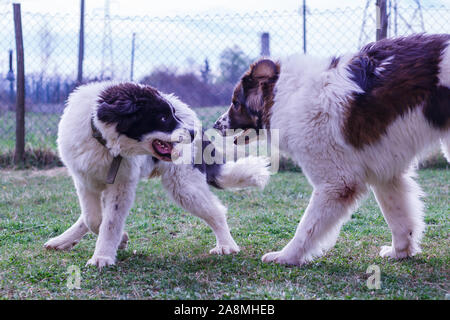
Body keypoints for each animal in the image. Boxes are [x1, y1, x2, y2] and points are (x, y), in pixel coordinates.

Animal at [44, 81, 270, 268]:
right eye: (163, 117)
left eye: (172, 115)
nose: (192, 133)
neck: (104, 143)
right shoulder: (84, 180)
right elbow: (93, 218)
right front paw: (118, 241)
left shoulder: (121, 185)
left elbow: (109, 222)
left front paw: (103, 256)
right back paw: (62, 240)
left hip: (184, 186)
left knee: (216, 211)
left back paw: (226, 245)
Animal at [214, 33, 450, 266]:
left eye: (235, 103)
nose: (215, 125)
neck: (286, 96)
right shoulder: (386, 173)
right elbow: (399, 220)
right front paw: (400, 252)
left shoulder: (336, 183)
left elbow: (307, 227)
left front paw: (286, 256)